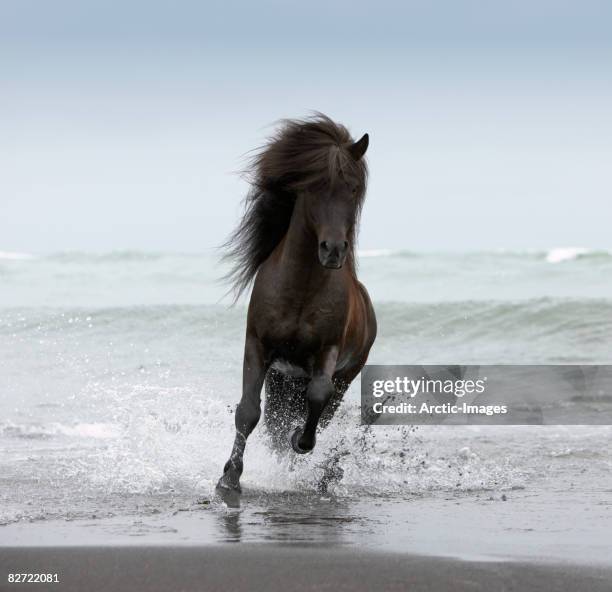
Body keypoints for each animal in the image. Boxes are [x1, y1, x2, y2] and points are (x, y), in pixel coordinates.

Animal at [215, 114, 378, 504]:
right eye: (314, 187)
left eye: (352, 188)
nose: (333, 250)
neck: (302, 287)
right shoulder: (257, 346)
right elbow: (247, 411)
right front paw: (229, 480)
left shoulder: (327, 353)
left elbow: (315, 399)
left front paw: (299, 442)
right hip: (281, 378)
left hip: (343, 376)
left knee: (319, 409)